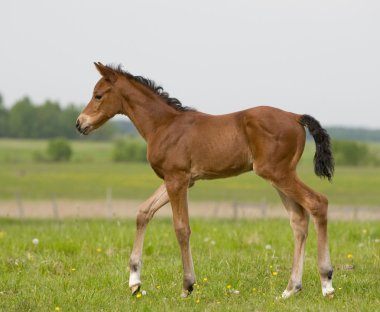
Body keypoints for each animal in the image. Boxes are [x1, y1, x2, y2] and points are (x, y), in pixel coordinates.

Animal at [75, 62, 334, 298]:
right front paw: (135, 282)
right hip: (279, 176)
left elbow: (181, 228)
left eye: (98, 95)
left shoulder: (177, 179)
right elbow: (143, 213)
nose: (79, 123)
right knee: (298, 219)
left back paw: (326, 282)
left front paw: (187, 286)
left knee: (317, 203)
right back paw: (291, 288)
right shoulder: (180, 180)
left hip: (278, 173)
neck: (163, 125)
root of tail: (295, 117)